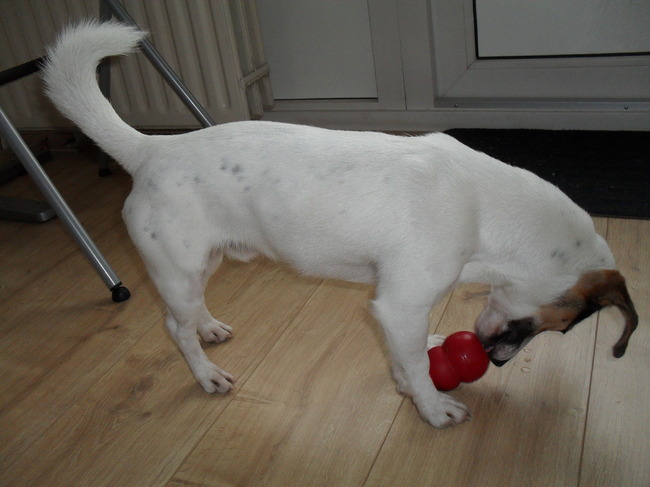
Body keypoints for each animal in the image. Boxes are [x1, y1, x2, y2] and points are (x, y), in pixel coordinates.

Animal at [42, 21, 638, 428]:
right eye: (565, 326)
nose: (496, 362)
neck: (485, 205)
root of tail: (151, 149)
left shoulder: (398, 310)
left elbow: (406, 357)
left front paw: (409, 381)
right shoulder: (400, 304)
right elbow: (417, 366)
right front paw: (432, 408)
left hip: (203, 263)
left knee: (189, 317)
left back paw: (211, 329)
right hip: (177, 271)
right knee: (173, 327)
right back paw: (206, 374)